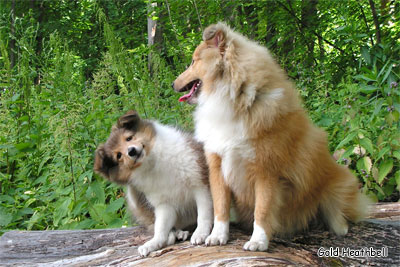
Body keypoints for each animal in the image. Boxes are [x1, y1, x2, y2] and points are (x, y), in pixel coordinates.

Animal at [94, 111, 212, 258]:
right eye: (119, 156)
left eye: (129, 138)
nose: (131, 151)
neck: (152, 163)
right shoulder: (164, 204)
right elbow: (161, 228)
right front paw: (153, 244)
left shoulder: (200, 185)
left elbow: (203, 214)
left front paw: (200, 233)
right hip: (134, 196)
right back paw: (177, 233)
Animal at [172, 22, 368, 252]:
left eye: (194, 61)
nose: (173, 84)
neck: (234, 100)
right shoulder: (217, 166)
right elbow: (220, 207)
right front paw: (217, 236)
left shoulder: (266, 171)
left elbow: (263, 210)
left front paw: (258, 241)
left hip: (338, 187)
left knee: (341, 214)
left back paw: (339, 227)